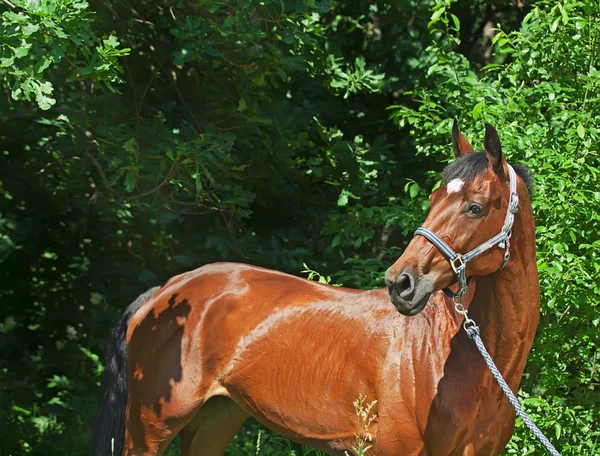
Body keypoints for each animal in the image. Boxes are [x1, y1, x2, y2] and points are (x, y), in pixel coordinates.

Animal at [92, 122, 540, 456]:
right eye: (432, 199)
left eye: (475, 207)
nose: (401, 282)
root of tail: (165, 291)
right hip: (148, 430)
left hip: (215, 421)